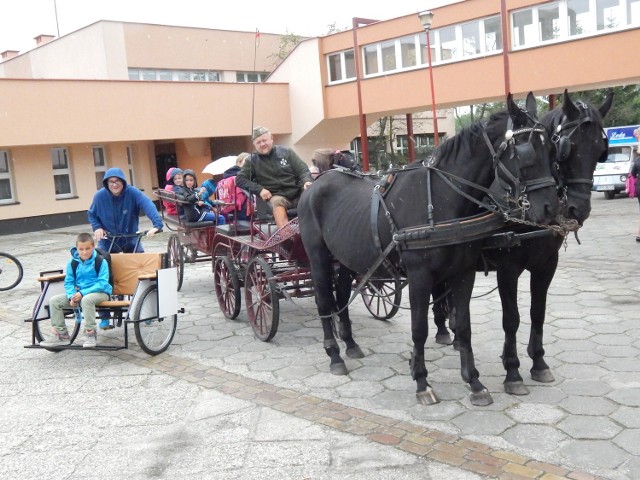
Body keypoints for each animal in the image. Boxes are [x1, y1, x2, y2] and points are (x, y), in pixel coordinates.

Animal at [300, 93, 560, 404]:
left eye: (552, 149)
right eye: (524, 153)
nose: (550, 208)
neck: (441, 198)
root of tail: (316, 183)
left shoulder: (463, 273)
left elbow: (464, 326)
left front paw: (474, 382)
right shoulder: (419, 276)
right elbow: (419, 330)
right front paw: (422, 382)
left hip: (350, 260)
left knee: (341, 297)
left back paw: (350, 344)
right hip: (318, 257)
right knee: (324, 301)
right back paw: (335, 355)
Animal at [432, 89, 612, 394]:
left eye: (601, 151)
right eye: (567, 148)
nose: (579, 209)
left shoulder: (546, 265)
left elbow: (537, 312)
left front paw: (538, 362)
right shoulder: (508, 268)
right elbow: (511, 318)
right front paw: (513, 371)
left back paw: (455, 334)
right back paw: (444, 331)